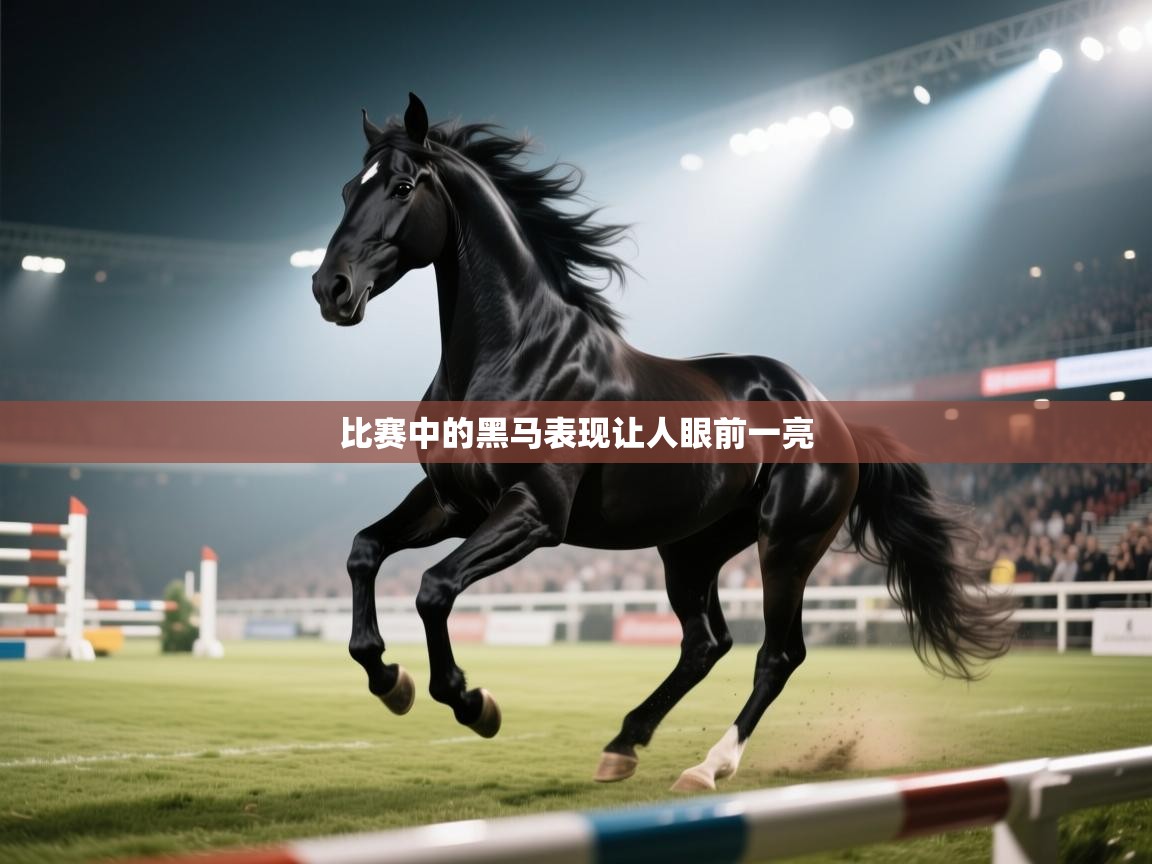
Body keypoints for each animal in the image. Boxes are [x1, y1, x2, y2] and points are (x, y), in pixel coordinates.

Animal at [311, 93, 1013, 791]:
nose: (330, 289)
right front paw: (389, 679)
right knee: (706, 643)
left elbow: (434, 588)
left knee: (777, 653)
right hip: (691, 548)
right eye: (347, 188)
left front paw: (472, 702)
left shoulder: (534, 513)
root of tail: (832, 412)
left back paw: (708, 766)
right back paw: (624, 744)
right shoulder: (452, 503)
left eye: (403, 186)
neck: (517, 354)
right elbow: (364, 551)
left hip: (786, 544)